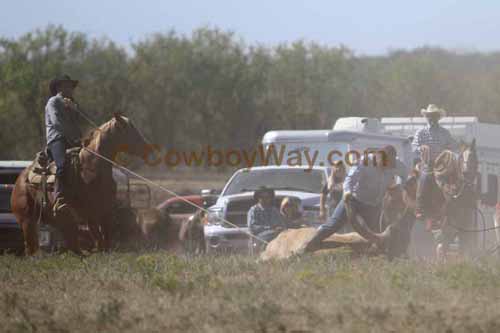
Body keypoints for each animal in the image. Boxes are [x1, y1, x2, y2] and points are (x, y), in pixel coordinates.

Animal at [11, 114, 148, 254]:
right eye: (127, 129)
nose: (146, 148)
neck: (91, 167)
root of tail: (20, 179)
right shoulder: (89, 213)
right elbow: (99, 240)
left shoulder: (106, 212)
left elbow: (106, 240)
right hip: (27, 221)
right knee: (31, 248)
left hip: (61, 221)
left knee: (72, 244)